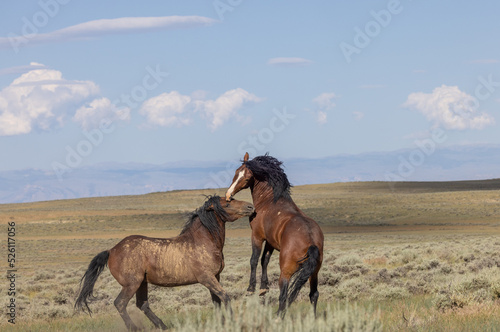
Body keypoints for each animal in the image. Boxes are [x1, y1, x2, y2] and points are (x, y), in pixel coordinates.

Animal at [74, 196, 254, 330]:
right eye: (227, 203)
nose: (251, 206)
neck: (203, 241)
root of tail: (112, 250)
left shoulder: (216, 276)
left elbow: (217, 301)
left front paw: (221, 322)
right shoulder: (206, 278)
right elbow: (225, 297)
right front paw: (231, 322)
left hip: (142, 283)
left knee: (142, 304)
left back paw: (163, 326)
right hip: (132, 284)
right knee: (120, 303)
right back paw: (136, 328)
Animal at [226, 153, 324, 316]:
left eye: (247, 178)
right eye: (236, 172)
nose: (228, 195)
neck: (269, 201)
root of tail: (311, 242)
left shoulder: (257, 236)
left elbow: (254, 260)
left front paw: (251, 289)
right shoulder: (270, 242)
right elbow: (264, 260)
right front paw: (263, 288)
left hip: (286, 272)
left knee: (284, 295)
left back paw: (278, 316)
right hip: (314, 273)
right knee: (313, 294)